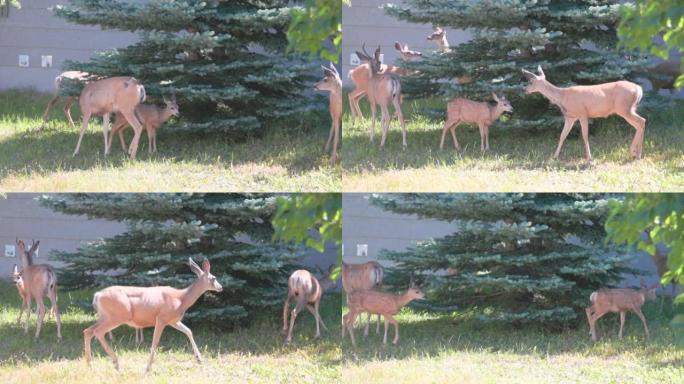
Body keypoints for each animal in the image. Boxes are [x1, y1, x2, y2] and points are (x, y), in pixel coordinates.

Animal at [82, 258, 222, 372]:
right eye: (214, 278)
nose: (221, 287)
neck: (181, 299)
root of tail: (97, 295)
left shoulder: (173, 320)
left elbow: (189, 331)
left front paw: (199, 359)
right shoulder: (161, 318)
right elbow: (155, 342)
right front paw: (148, 368)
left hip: (105, 316)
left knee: (88, 331)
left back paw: (90, 365)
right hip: (118, 316)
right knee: (98, 332)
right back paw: (115, 363)